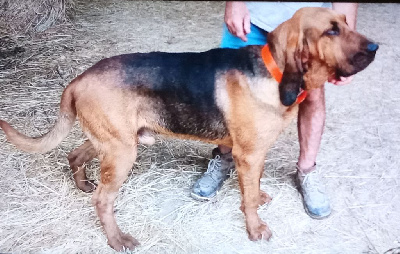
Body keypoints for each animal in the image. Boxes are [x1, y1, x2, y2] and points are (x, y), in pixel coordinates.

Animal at [0, 6, 378, 251]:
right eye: (331, 30)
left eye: (346, 22)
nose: (376, 48)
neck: (273, 72)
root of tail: (78, 80)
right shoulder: (249, 154)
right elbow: (249, 200)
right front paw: (255, 228)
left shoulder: (252, 156)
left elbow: (253, 188)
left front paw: (258, 197)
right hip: (121, 153)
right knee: (102, 200)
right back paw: (117, 239)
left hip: (113, 142)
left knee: (74, 155)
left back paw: (81, 184)